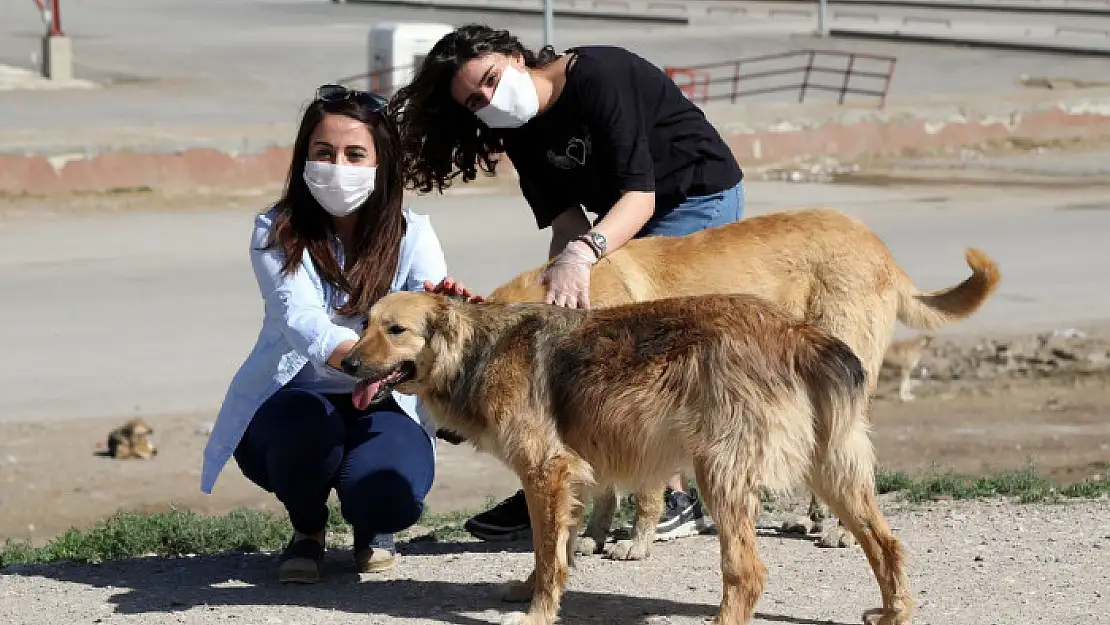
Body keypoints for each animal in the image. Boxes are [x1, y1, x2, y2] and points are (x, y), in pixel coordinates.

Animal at [344, 290, 910, 625]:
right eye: (365, 323)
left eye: (396, 330)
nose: (345, 363)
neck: (479, 351)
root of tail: (799, 333)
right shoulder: (569, 480)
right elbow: (556, 552)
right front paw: (529, 591)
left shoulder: (546, 472)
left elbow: (548, 557)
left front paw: (536, 613)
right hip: (833, 471)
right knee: (885, 544)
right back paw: (893, 612)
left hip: (718, 474)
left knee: (747, 572)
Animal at [450, 207, 999, 555]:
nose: (447, 435)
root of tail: (881, 249)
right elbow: (606, 489)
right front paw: (595, 536)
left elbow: (641, 492)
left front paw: (636, 543)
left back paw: (843, 531)